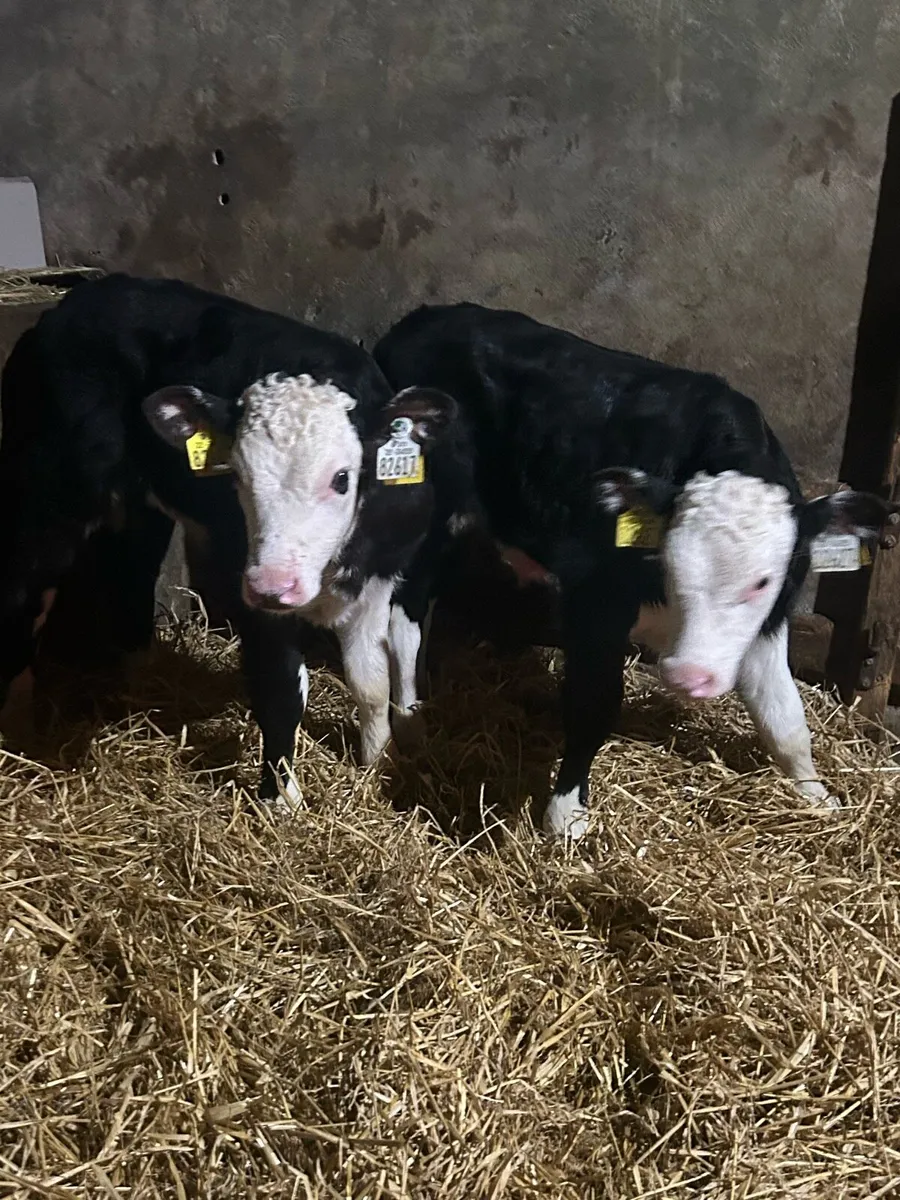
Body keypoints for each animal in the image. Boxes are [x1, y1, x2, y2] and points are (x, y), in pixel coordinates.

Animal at [0, 274, 466, 800]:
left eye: (342, 478)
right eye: (237, 476)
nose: (274, 584)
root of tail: (75, 300)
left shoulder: (377, 580)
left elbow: (371, 682)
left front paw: (374, 765)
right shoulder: (253, 597)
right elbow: (281, 691)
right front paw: (283, 800)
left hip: (139, 510)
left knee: (131, 578)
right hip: (49, 497)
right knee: (20, 594)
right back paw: (18, 729)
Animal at [373, 302, 896, 840]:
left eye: (763, 581)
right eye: (672, 562)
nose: (690, 676)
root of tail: (423, 318)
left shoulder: (770, 621)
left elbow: (785, 717)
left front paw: (817, 798)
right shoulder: (595, 601)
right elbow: (593, 704)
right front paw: (566, 817)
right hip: (434, 511)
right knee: (405, 614)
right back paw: (410, 718)